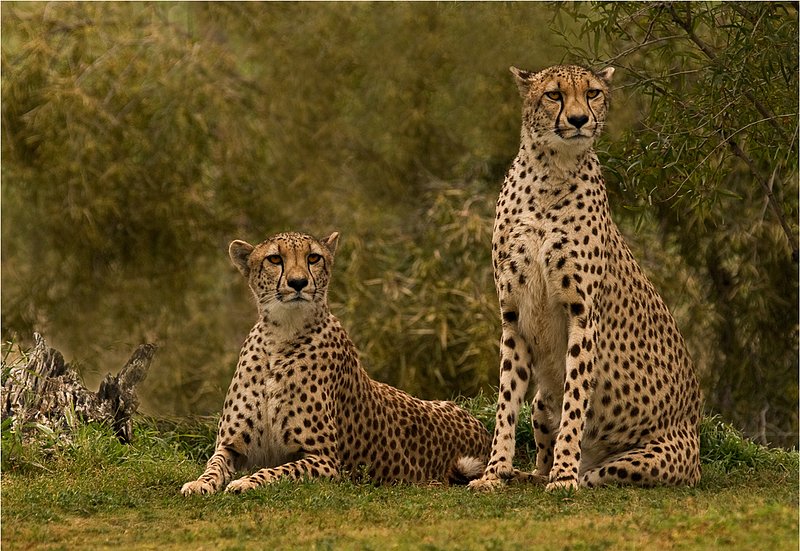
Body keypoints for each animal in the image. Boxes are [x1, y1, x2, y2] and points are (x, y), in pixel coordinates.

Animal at [181, 231, 490, 495]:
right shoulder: (230, 447)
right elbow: (213, 466)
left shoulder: (326, 460)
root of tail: (480, 426)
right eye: (275, 259)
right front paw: (199, 484)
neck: (282, 334)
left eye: (313, 258)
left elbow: (278, 471)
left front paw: (246, 482)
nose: (298, 283)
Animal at [468, 65, 702, 493]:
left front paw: (562, 476)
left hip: (647, 461)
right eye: (554, 95)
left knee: (597, 473)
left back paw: (567, 473)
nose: (578, 119)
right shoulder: (512, 315)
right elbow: (507, 401)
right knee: (541, 441)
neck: (551, 173)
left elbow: (576, 399)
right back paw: (525, 474)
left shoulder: (582, 313)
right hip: (542, 401)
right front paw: (494, 473)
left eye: (592, 93)